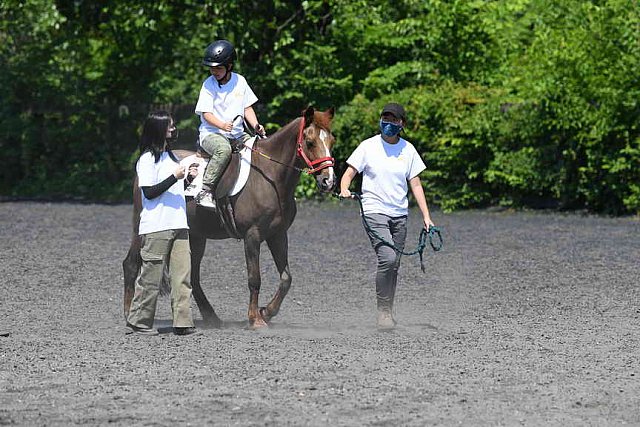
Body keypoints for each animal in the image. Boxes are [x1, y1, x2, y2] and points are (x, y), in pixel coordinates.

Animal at [122, 108, 338, 330]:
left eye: (331, 141)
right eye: (310, 142)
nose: (328, 181)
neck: (269, 177)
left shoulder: (278, 235)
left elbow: (286, 278)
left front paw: (266, 312)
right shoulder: (252, 236)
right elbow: (254, 278)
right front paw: (255, 318)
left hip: (196, 236)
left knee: (193, 277)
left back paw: (212, 317)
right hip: (142, 229)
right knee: (130, 264)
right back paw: (129, 315)